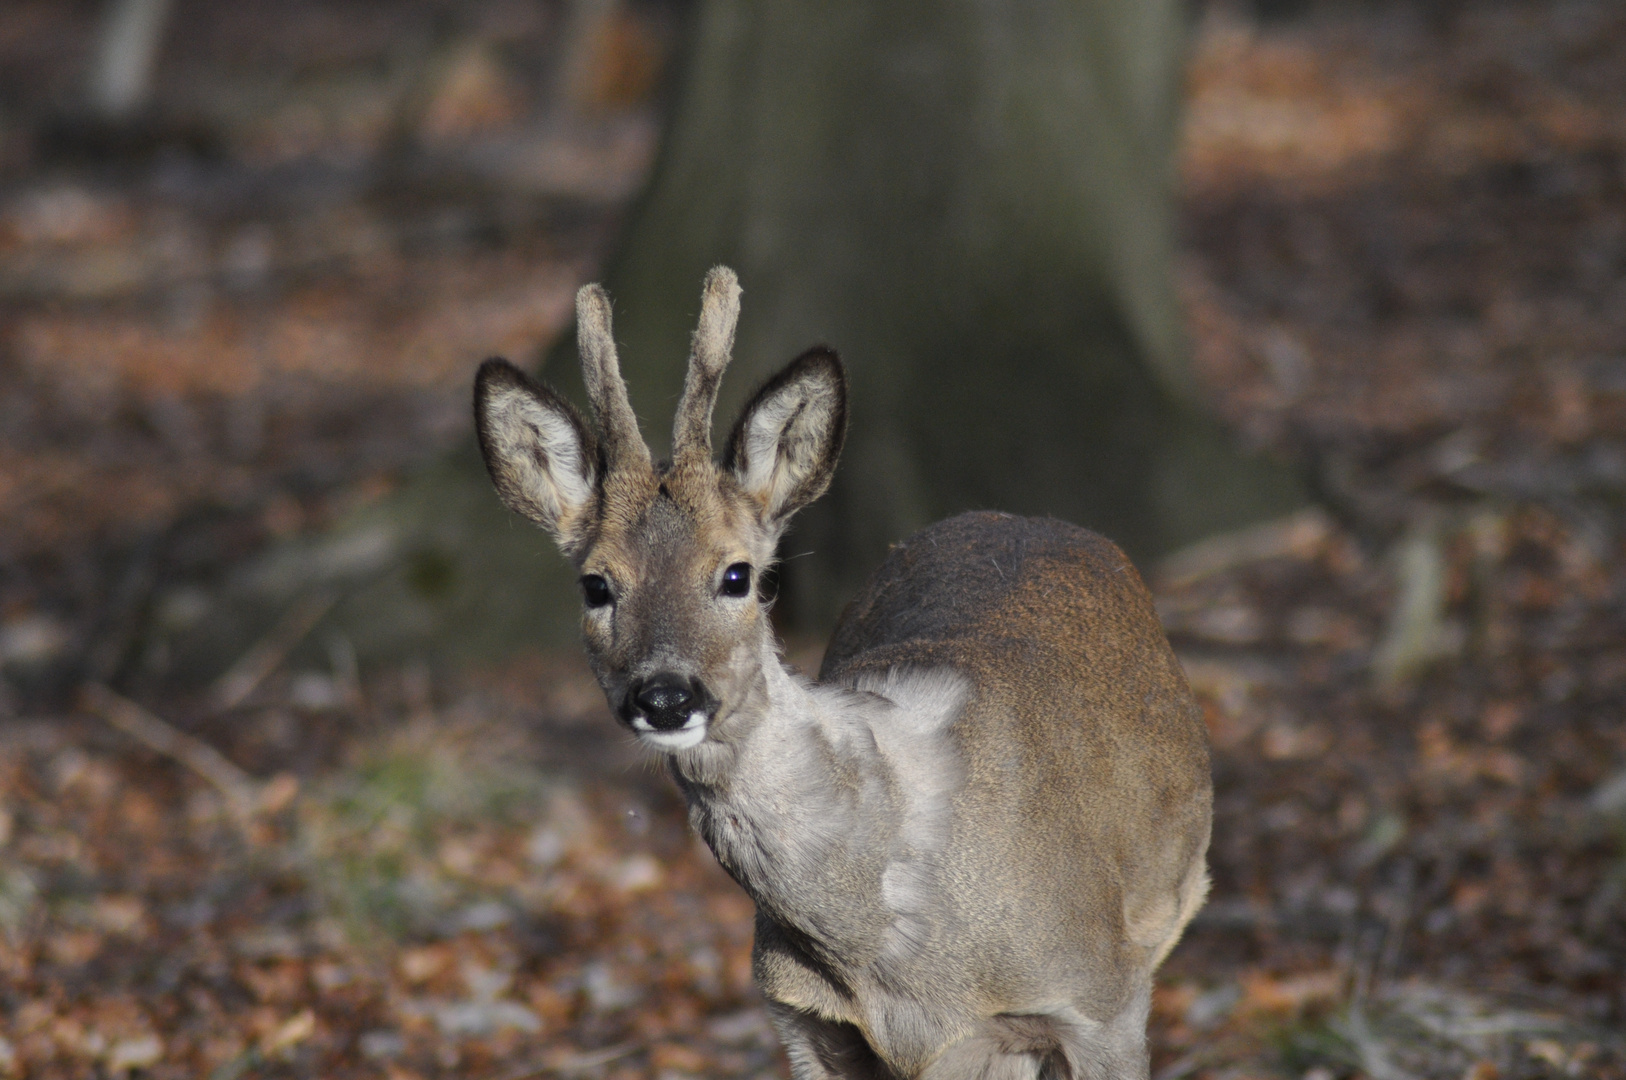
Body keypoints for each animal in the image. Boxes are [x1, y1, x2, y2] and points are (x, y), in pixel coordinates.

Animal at [471, 263, 1209, 1080]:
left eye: (739, 575)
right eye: (596, 585)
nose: (665, 696)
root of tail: (1026, 518)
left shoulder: (1099, 996)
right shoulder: (801, 1013)